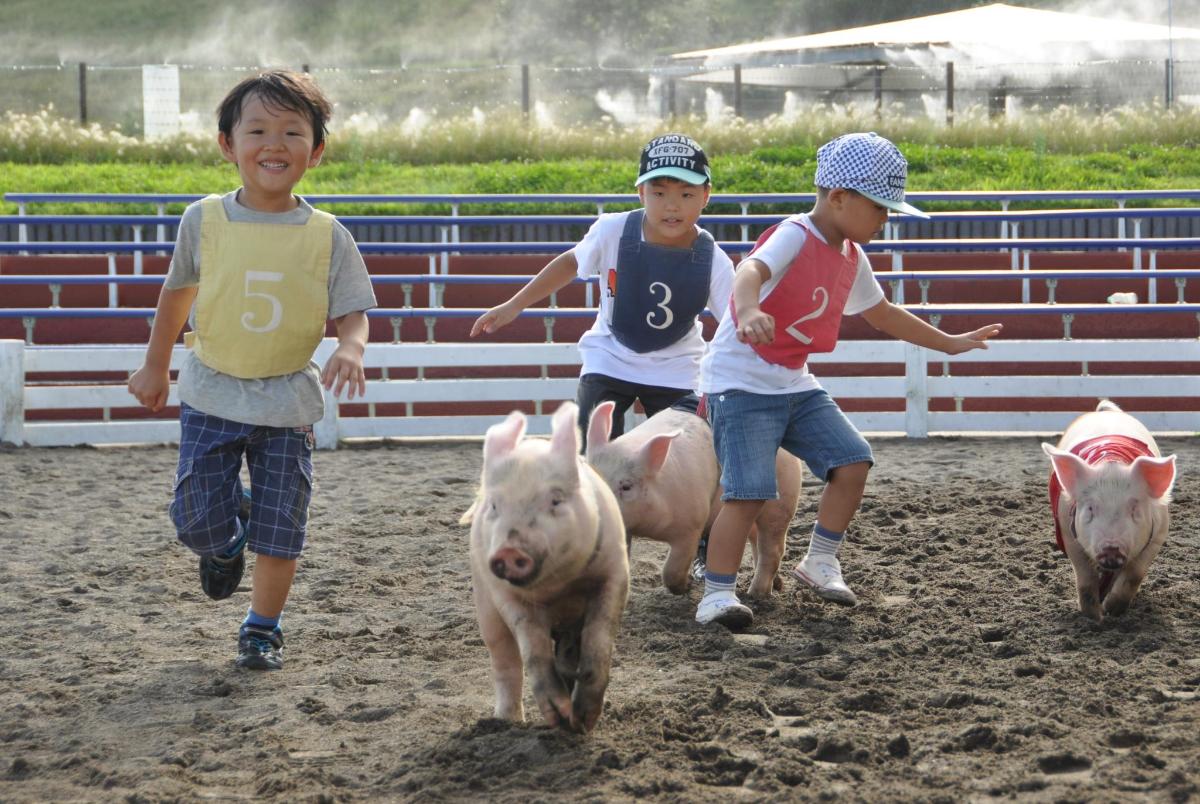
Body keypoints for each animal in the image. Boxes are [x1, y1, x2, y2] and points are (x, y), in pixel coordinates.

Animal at [458, 403, 628, 739]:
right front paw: (560, 719)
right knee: (505, 661)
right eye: (495, 506)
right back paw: (506, 722)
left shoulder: (616, 570)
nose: (510, 550)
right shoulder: (504, 593)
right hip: (484, 605)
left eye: (555, 500)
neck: (558, 586)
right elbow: (533, 650)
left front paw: (583, 721)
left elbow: (600, 634)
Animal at [580, 400, 796, 597]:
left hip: (781, 501)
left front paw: (688, 586)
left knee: (773, 547)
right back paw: (776, 584)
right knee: (755, 540)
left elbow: (672, 570)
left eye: (626, 486)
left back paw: (757, 595)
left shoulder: (692, 524)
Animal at [1046, 400, 1176, 624]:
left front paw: (1112, 611)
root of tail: (1104, 412)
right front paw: (1094, 618)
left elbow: (1134, 574)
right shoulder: (1067, 532)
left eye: (1134, 509)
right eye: (1091, 508)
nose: (1111, 549)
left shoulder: (1159, 532)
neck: (1112, 463)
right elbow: (1085, 579)